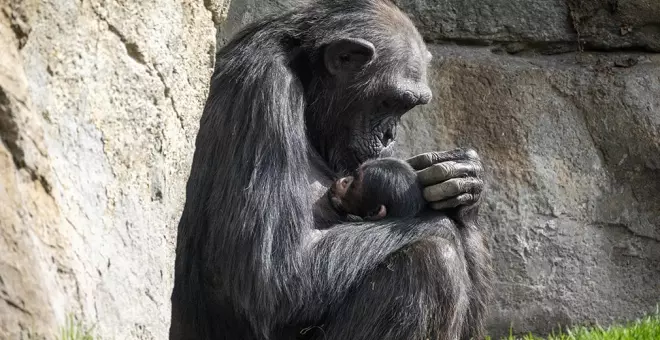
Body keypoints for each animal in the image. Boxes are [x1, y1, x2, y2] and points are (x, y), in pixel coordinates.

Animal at [170, 0, 490, 340]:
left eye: (408, 107)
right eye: (389, 101)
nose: (390, 135)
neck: (306, 81)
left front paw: (462, 181)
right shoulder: (261, 89)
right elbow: (272, 278)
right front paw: (440, 221)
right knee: (432, 260)